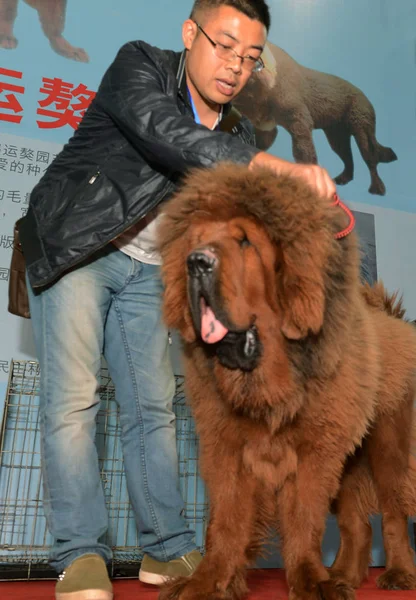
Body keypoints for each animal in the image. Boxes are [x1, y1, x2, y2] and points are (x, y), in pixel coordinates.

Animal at [157, 162, 416, 596]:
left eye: (245, 241)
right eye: (197, 240)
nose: (196, 261)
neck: (268, 380)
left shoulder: (316, 452)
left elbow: (303, 521)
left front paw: (310, 581)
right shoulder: (225, 449)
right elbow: (224, 523)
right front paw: (205, 582)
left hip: (388, 449)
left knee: (394, 517)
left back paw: (396, 573)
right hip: (350, 464)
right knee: (357, 526)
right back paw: (343, 575)